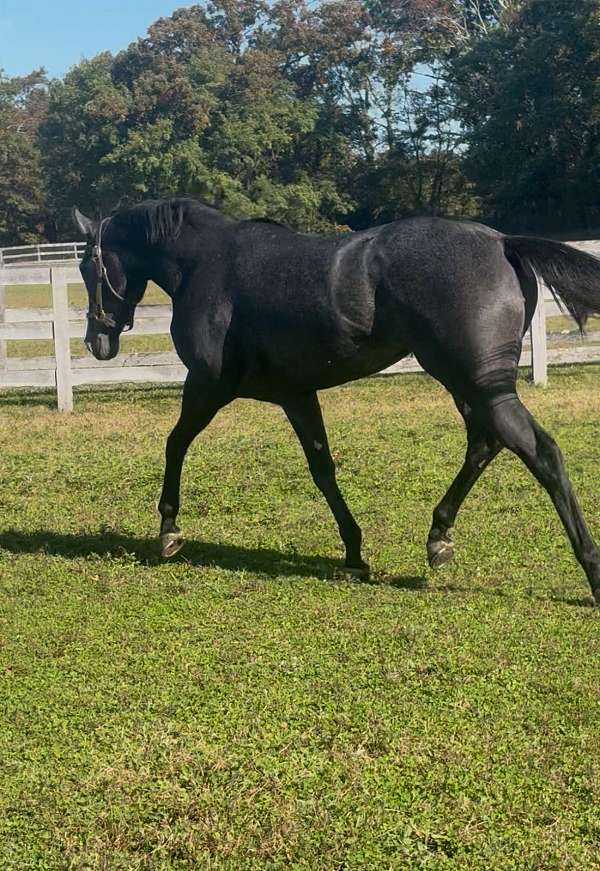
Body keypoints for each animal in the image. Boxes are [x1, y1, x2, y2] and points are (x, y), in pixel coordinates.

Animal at [73, 198, 600, 603]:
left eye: (86, 265)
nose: (97, 341)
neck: (206, 265)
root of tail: (501, 242)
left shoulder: (207, 386)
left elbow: (175, 444)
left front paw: (168, 530)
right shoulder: (296, 395)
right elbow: (322, 468)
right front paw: (353, 552)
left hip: (480, 385)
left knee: (541, 453)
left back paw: (591, 571)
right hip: (467, 386)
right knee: (485, 446)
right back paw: (438, 538)